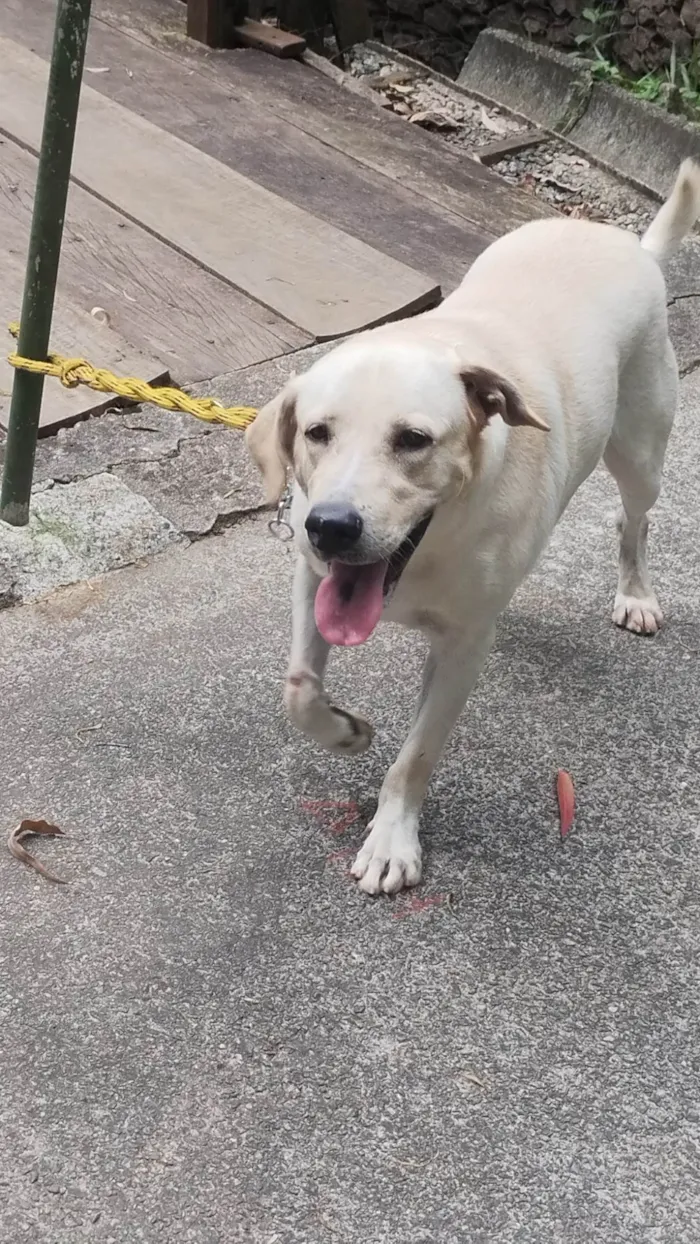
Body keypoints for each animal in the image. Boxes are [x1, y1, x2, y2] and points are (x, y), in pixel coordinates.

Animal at [246, 162, 700, 895]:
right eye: (316, 433)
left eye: (413, 439)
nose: (331, 527)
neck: (432, 547)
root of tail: (631, 246)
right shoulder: (312, 581)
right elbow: (298, 689)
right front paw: (343, 731)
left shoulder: (462, 648)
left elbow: (416, 754)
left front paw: (392, 838)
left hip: (641, 453)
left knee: (634, 521)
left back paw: (635, 593)